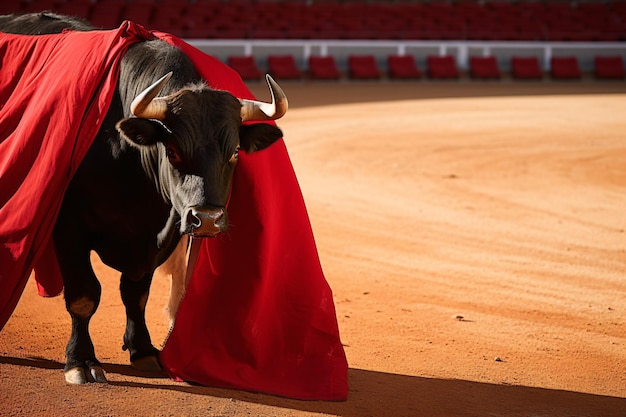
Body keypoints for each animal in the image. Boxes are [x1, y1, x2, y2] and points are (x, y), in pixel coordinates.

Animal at [0, 13, 288, 384]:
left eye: (236, 151)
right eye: (173, 150)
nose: (207, 219)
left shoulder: (157, 238)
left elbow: (135, 294)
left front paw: (143, 350)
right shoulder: (68, 227)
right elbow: (84, 295)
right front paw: (81, 361)